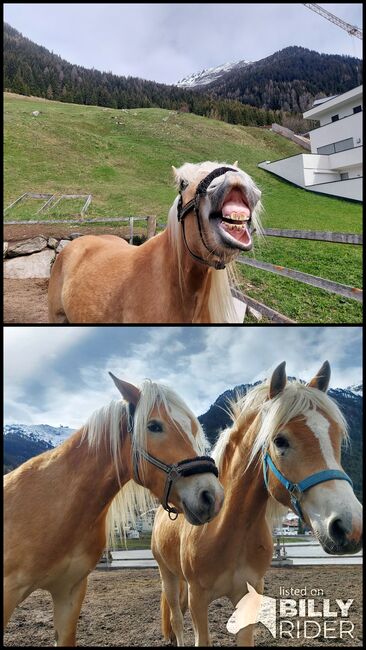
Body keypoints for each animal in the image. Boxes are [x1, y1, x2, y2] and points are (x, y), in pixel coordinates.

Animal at [152, 360, 364, 644]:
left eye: (337, 437)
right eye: (280, 440)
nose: (350, 527)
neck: (225, 531)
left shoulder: (249, 596)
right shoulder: (198, 599)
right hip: (169, 576)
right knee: (176, 618)